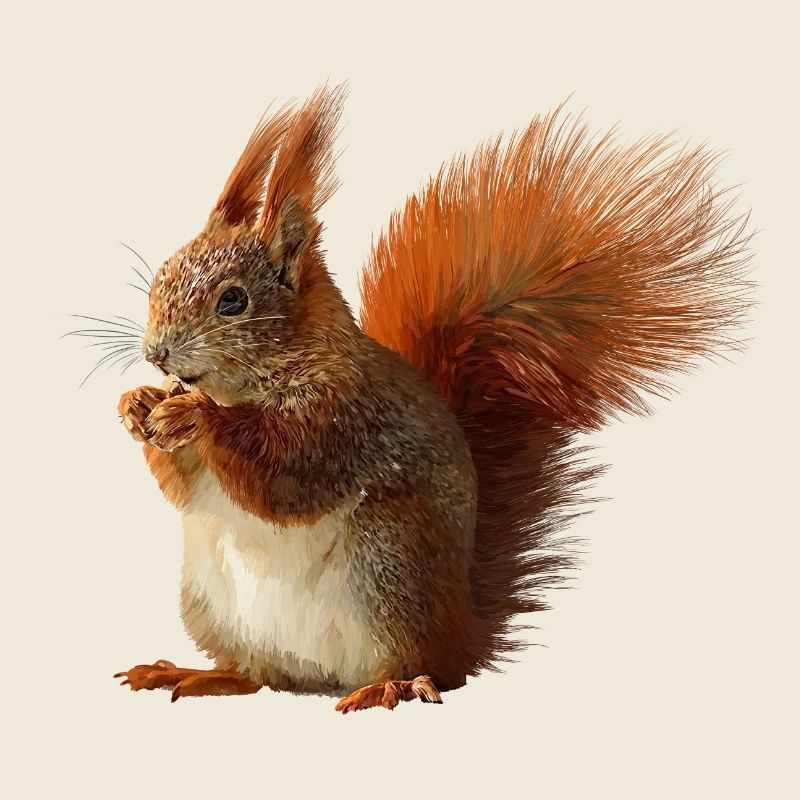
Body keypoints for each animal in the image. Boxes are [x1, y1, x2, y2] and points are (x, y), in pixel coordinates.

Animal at [109, 84, 751, 712]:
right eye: (162, 272)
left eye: (233, 301)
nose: (156, 353)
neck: (245, 385)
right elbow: (182, 487)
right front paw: (137, 404)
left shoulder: (344, 418)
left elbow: (284, 474)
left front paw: (195, 415)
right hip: (212, 601)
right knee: (259, 675)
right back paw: (197, 673)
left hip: (390, 561)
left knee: (426, 668)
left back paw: (389, 687)